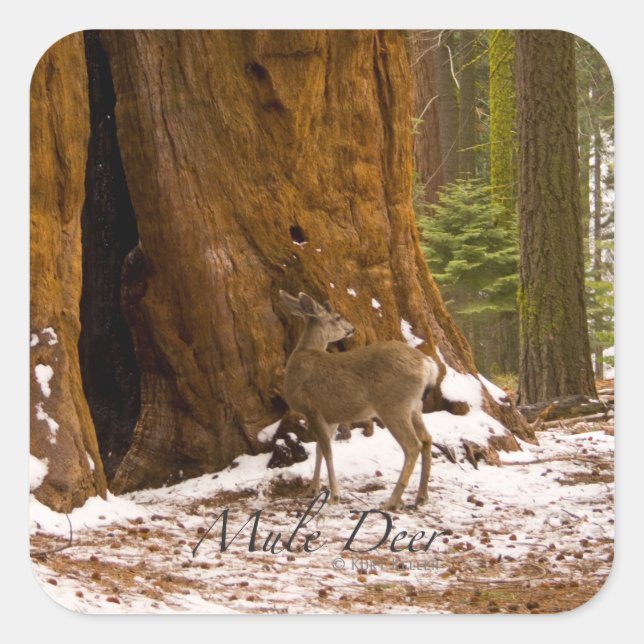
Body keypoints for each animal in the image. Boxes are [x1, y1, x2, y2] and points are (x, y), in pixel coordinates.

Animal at [279, 290, 439, 511]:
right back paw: (421, 497)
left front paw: (334, 496)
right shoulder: (330, 414)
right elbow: (320, 449)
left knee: (412, 445)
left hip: (394, 405)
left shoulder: (312, 408)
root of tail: (427, 364)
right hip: (415, 406)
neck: (304, 354)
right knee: (426, 439)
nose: (352, 328)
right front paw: (312, 489)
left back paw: (392, 501)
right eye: (338, 317)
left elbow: (327, 451)